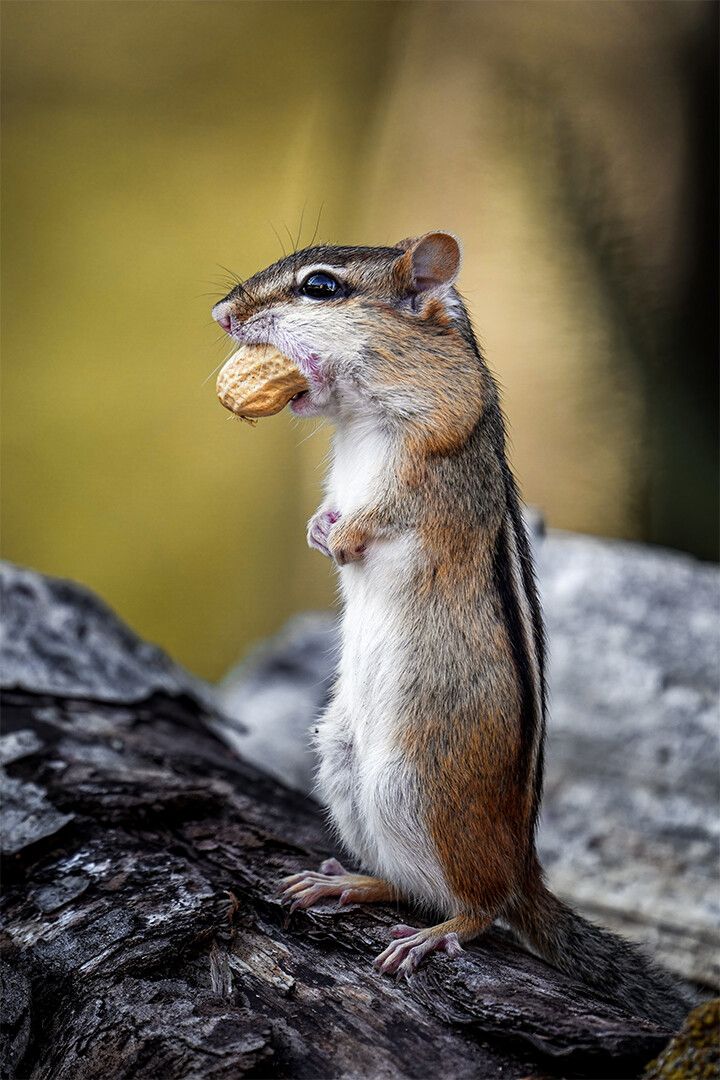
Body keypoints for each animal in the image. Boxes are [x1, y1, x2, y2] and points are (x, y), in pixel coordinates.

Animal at [212, 232, 687, 1027]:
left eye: (320, 287)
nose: (221, 313)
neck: (360, 423)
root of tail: (525, 865)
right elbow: (329, 510)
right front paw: (319, 530)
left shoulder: (434, 454)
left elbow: (388, 512)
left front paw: (344, 537)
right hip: (342, 761)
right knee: (414, 886)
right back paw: (348, 884)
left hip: (422, 783)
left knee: (478, 907)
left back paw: (437, 935)